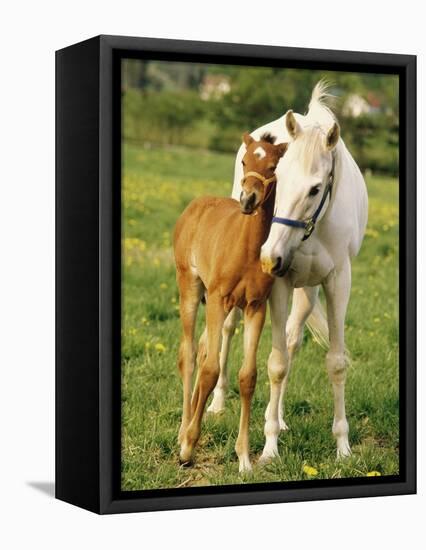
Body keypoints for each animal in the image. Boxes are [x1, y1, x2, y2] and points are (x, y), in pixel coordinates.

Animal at [174, 132, 290, 472]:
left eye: (273, 165)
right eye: (244, 161)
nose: (248, 200)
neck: (247, 248)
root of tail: (195, 206)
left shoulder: (255, 307)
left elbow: (247, 377)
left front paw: (244, 459)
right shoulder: (217, 300)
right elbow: (211, 370)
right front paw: (188, 447)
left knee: (200, 348)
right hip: (190, 287)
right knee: (189, 355)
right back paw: (183, 431)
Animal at [206, 82, 366, 466]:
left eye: (315, 188)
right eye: (279, 177)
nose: (270, 256)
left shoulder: (337, 282)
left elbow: (335, 363)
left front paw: (342, 447)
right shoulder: (278, 283)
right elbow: (276, 364)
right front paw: (268, 449)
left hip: (307, 292)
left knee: (292, 340)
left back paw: (277, 417)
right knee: (231, 328)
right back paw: (218, 403)